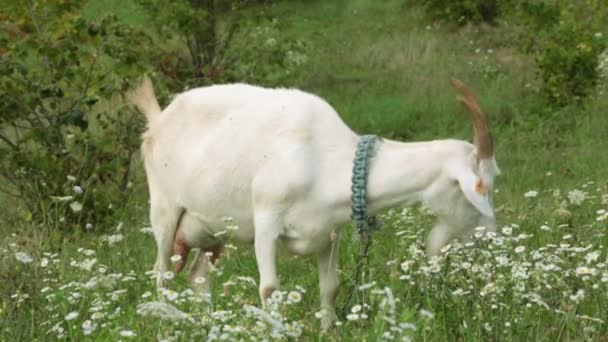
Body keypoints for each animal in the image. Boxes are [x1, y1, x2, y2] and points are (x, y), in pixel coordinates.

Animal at [128, 77, 498, 328]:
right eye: (481, 187)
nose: (491, 238)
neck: (326, 159)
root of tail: (158, 119)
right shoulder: (266, 220)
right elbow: (269, 289)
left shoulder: (328, 232)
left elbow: (330, 288)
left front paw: (328, 330)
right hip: (164, 210)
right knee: (161, 273)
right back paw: (165, 322)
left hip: (213, 230)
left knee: (198, 276)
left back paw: (207, 324)